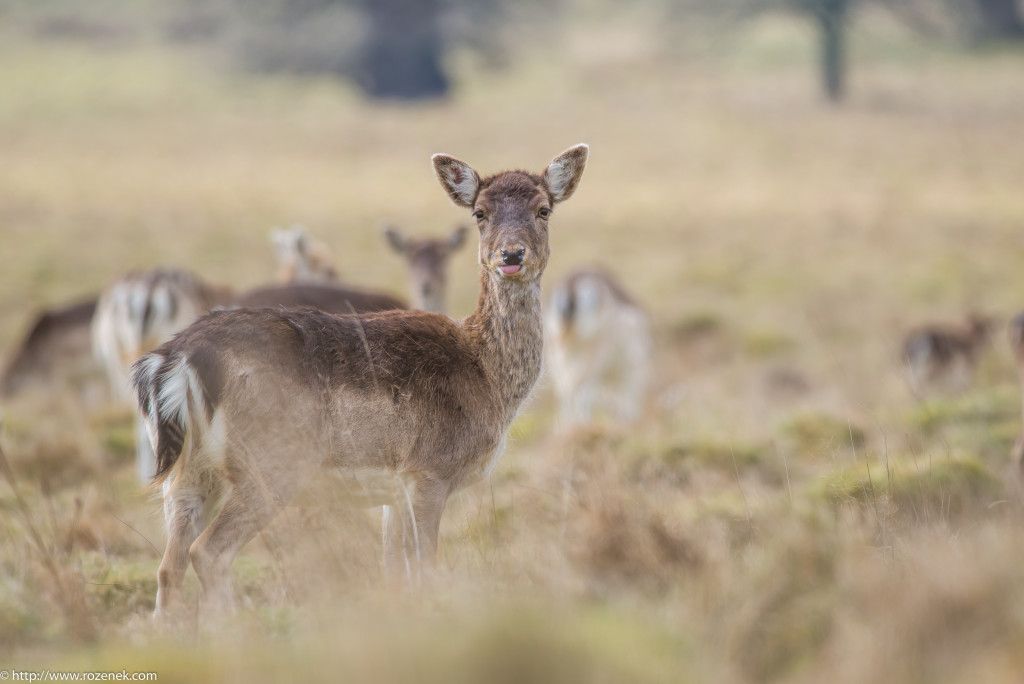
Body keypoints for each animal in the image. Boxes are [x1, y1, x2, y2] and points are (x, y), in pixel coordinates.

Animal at [132, 143, 589, 614]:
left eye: (543, 209)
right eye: (479, 212)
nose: (511, 255)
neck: (488, 378)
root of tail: (175, 359)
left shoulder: (394, 491)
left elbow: (394, 572)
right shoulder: (429, 470)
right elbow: (425, 570)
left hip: (188, 472)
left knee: (168, 567)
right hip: (272, 460)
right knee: (208, 552)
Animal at [544, 266, 647, 428]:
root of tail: (572, 287)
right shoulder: (632, 366)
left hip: (556, 352)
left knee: (565, 389)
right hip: (594, 352)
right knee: (578, 387)